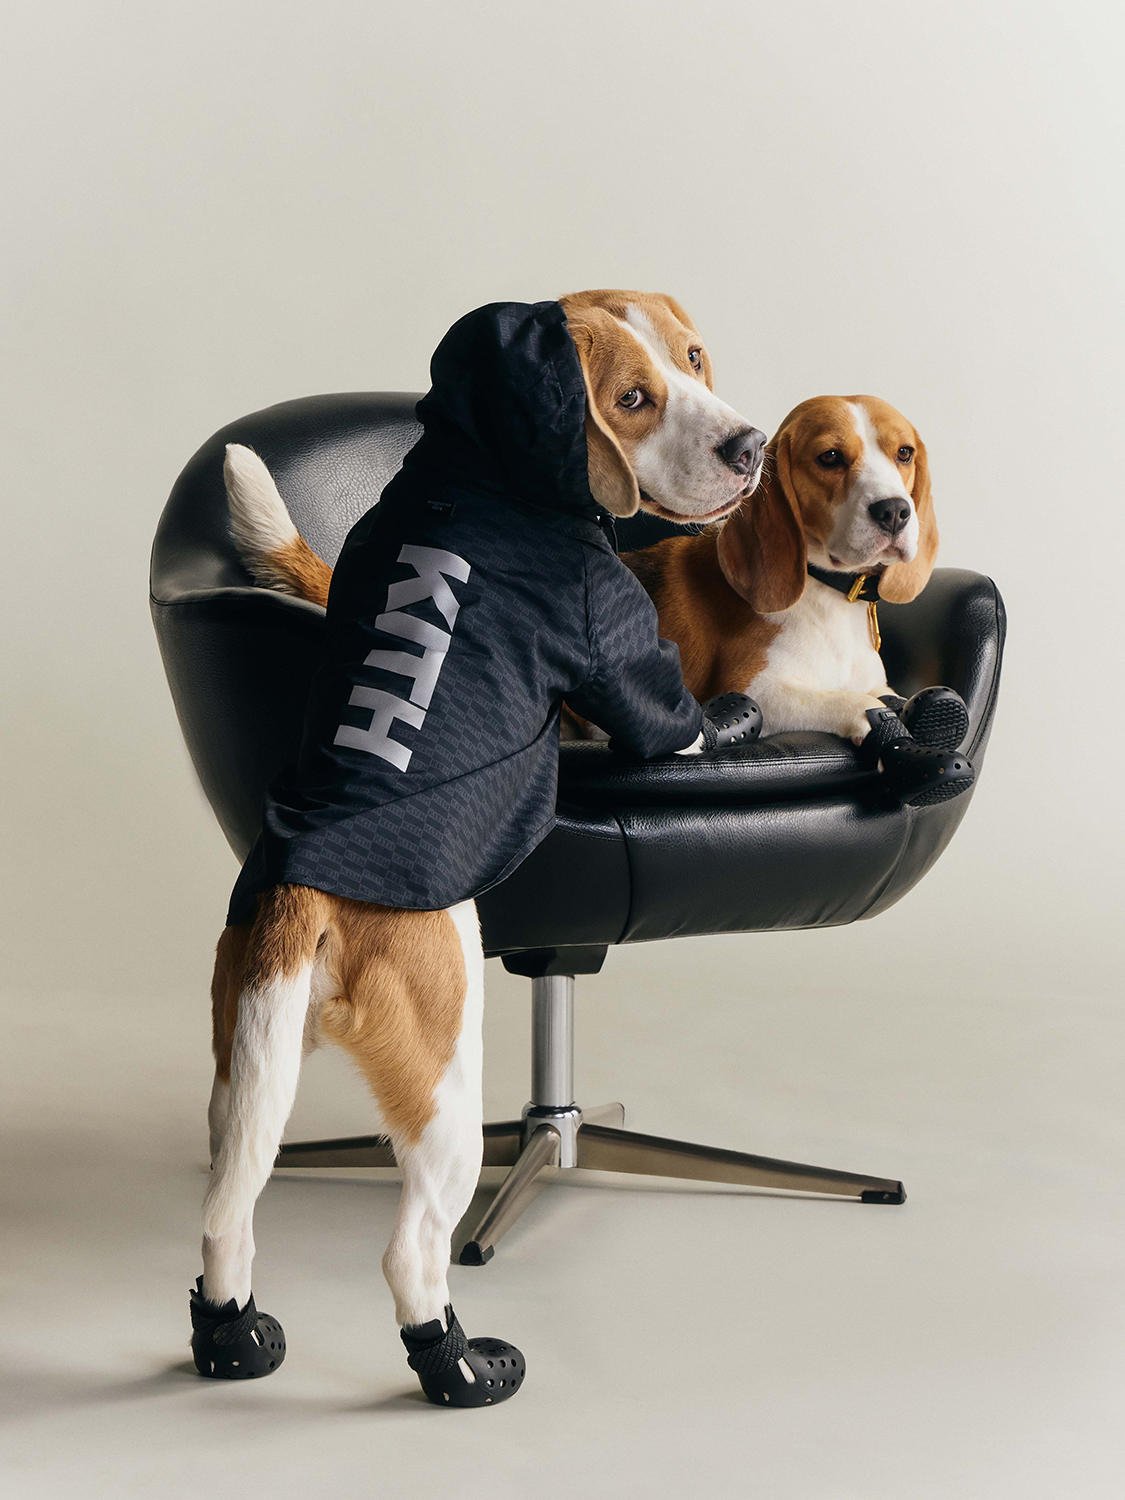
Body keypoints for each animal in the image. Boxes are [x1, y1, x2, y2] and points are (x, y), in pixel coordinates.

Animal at [198, 291, 764, 1403]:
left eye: (693, 358)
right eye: (631, 400)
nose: (746, 446)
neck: (481, 462)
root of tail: (306, 883)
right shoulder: (613, 640)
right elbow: (670, 715)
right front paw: (728, 720)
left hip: (244, 1067)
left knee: (223, 1221)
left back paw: (232, 1338)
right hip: (446, 1091)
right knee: (410, 1252)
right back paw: (460, 1365)